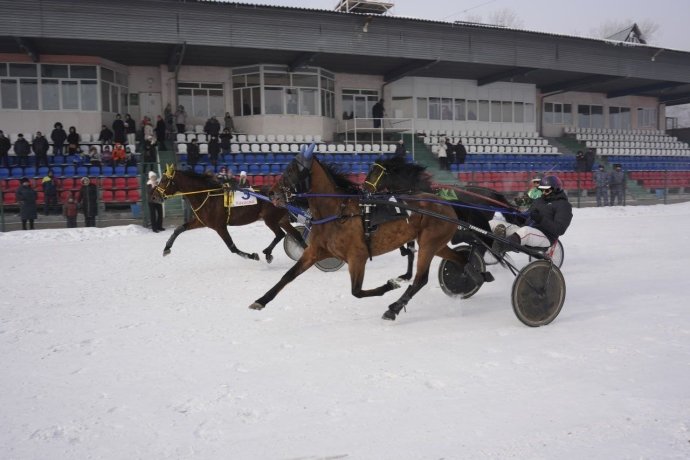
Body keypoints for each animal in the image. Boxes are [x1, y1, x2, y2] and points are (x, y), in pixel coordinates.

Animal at [150, 164, 304, 262]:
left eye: (164, 180)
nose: (154, 196)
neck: (207, 195)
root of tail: (284, 193)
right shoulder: (201, 222)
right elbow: (179, 229)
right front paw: (166, 248)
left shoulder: (220, 226)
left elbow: (232, 247)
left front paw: (253, 255)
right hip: (281, 219)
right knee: (296, 234)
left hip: (270, 219)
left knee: (280, 234)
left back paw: (267, 252)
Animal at [247, 144, 468, 320]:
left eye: (293, 171)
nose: (271, 193)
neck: (338, 212)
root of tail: (447, 205)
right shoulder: (314, 252)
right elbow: (288, 275)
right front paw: (261, 300)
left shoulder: (357, 256)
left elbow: (356, 291)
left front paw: (390, 285)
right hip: (435, 244)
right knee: (459, 258)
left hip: (429, 243)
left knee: (421, 279)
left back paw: (394, 308)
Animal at [360, 156, 520, 278]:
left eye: (375, 173)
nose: (364, 189)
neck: (416, 193)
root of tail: (494, 194)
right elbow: (407, 249)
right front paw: (407, 274)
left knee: (483, 244)